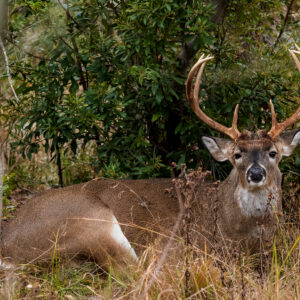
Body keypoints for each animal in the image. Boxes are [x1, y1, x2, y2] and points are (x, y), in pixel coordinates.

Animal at [1, 48, 300, 268]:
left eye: (273, 153)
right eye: (237, 154)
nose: (256, 173)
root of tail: (8, 243)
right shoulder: (175, 244)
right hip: (89, 223)